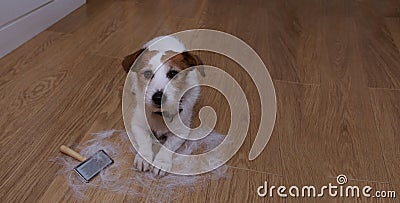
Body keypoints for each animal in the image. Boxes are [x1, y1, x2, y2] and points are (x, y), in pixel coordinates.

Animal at [121, 36, 203, 176]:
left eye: (173, 73)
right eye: (147, 74)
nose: (158, 98)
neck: (160, 114)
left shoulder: (181, 131)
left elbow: (168, 146)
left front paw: (161, 161)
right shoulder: (138, 125)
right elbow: (145, 140)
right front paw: (144, 157)